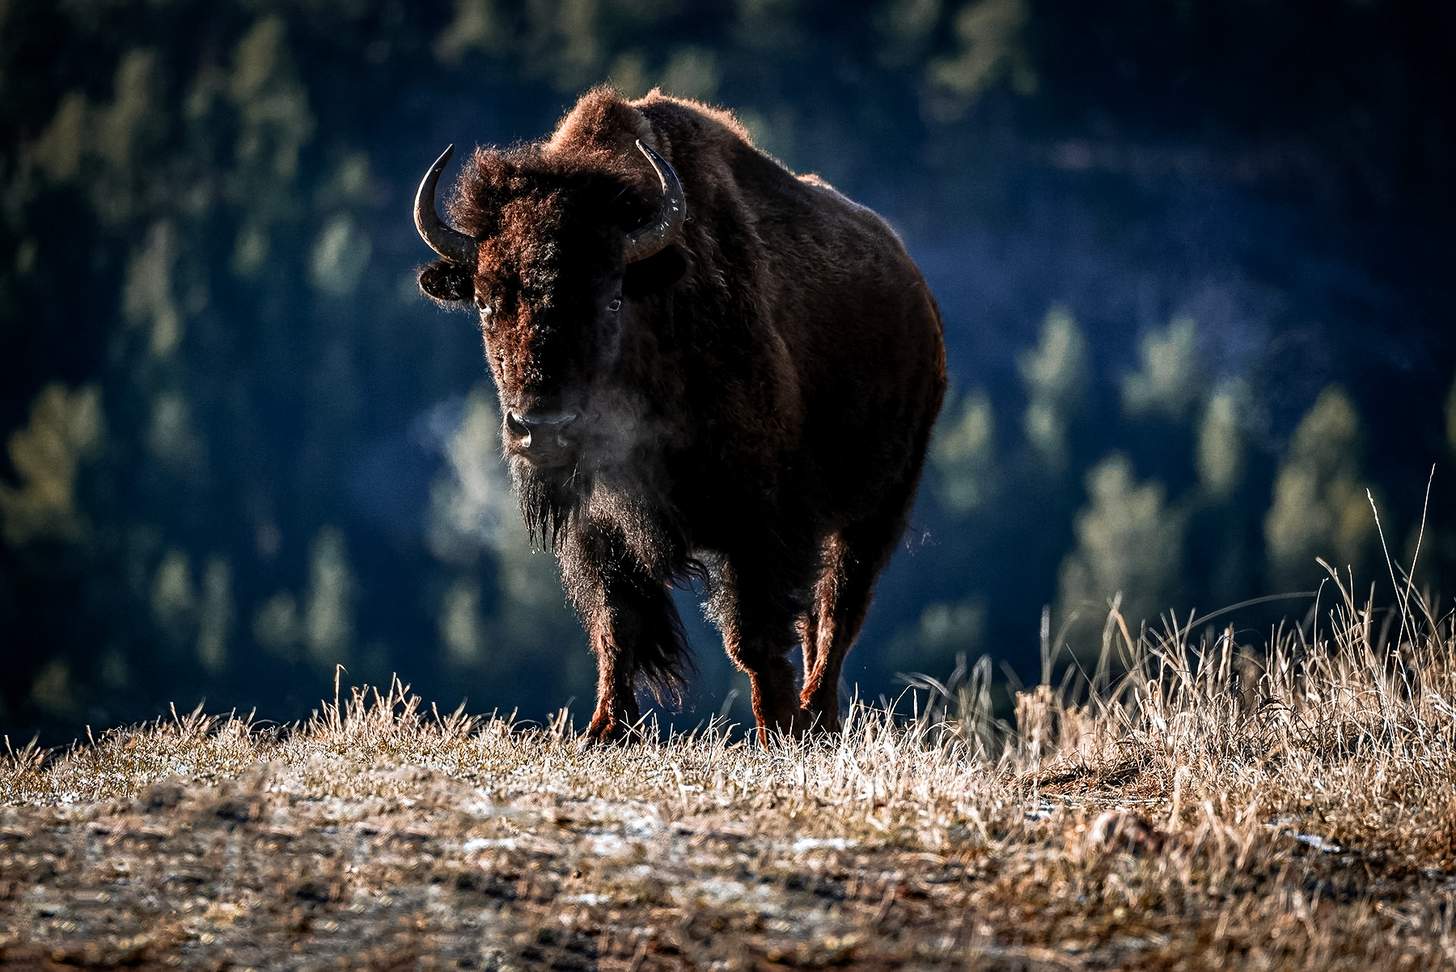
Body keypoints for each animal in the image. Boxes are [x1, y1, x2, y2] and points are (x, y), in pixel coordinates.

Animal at [415, 87, 946, 742]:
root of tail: (916, 290)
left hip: (877, 507)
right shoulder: (598, 529)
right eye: (488, 302)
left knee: (838, 612)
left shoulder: (758, 523)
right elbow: (616, 624)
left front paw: (777, 728)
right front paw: (605, 729)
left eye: (612, 298)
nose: (541, 430)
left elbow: (752, 636)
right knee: (819, 616)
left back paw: (815, 716)